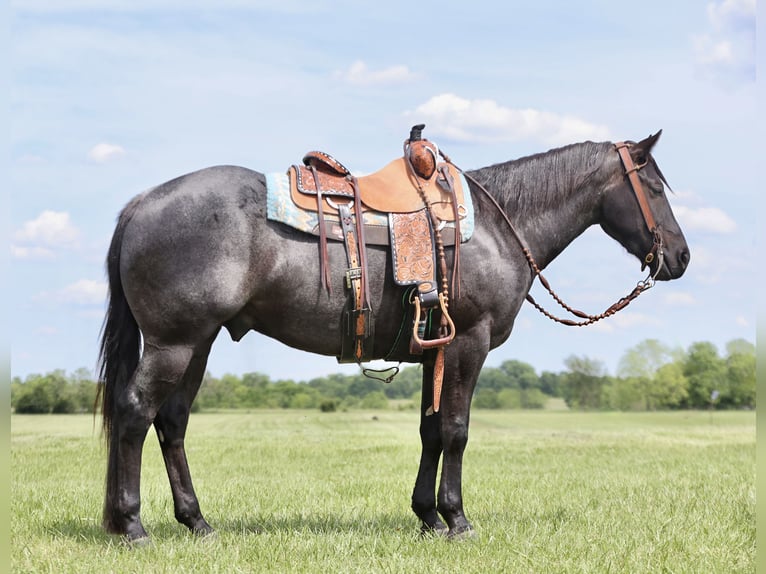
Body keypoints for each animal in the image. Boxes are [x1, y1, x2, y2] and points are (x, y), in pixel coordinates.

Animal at [96, 129, 688, 544]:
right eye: (655, 187)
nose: (680, 257)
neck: (499, 227)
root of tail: (144, 202)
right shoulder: (468, 344)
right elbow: (456, 431)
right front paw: (457, 519)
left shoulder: (436, 351)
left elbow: (430, 432)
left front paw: (427, 517)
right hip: (174, 343)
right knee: (135, 412)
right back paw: (133, 526)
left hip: (198, 343)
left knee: (171, 423)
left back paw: (197, 522)